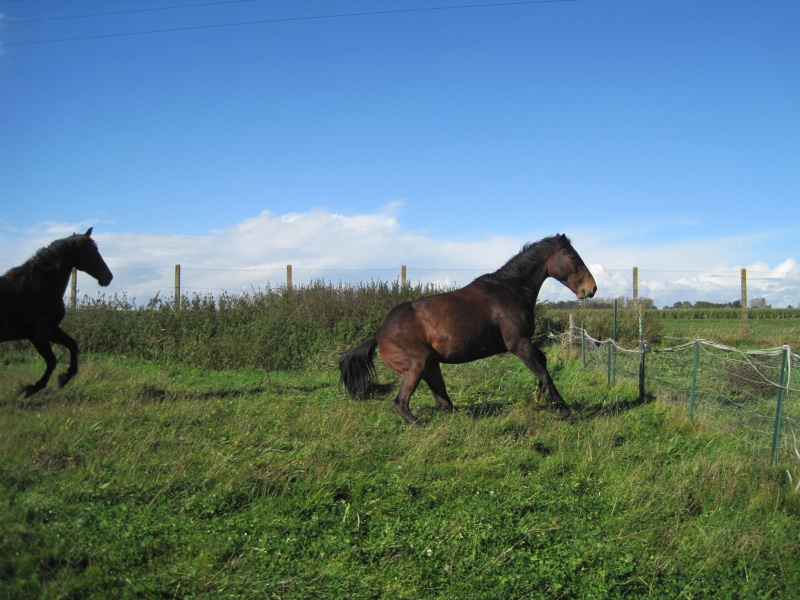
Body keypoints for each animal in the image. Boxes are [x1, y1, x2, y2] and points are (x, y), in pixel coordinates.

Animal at [0, 227, 113, 396]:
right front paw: (35, 387)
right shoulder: (42, 332)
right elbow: (54, 358)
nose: (108, 277)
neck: (37, 285)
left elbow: (70, 346)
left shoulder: (40, 334)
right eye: (91, 251)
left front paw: (64, 376)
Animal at [338, 232, 592, 424]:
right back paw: (418, 425)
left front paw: (538, 397)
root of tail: (379, 335)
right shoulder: (518, 343)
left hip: (431, 367)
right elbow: (544, 373)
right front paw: (563, 409)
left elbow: (543, 365)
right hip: (415, 368)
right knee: (401, 403)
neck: (510, 291)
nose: (592, 288)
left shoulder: (524, 343)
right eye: (572, 256)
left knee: (444, 402)